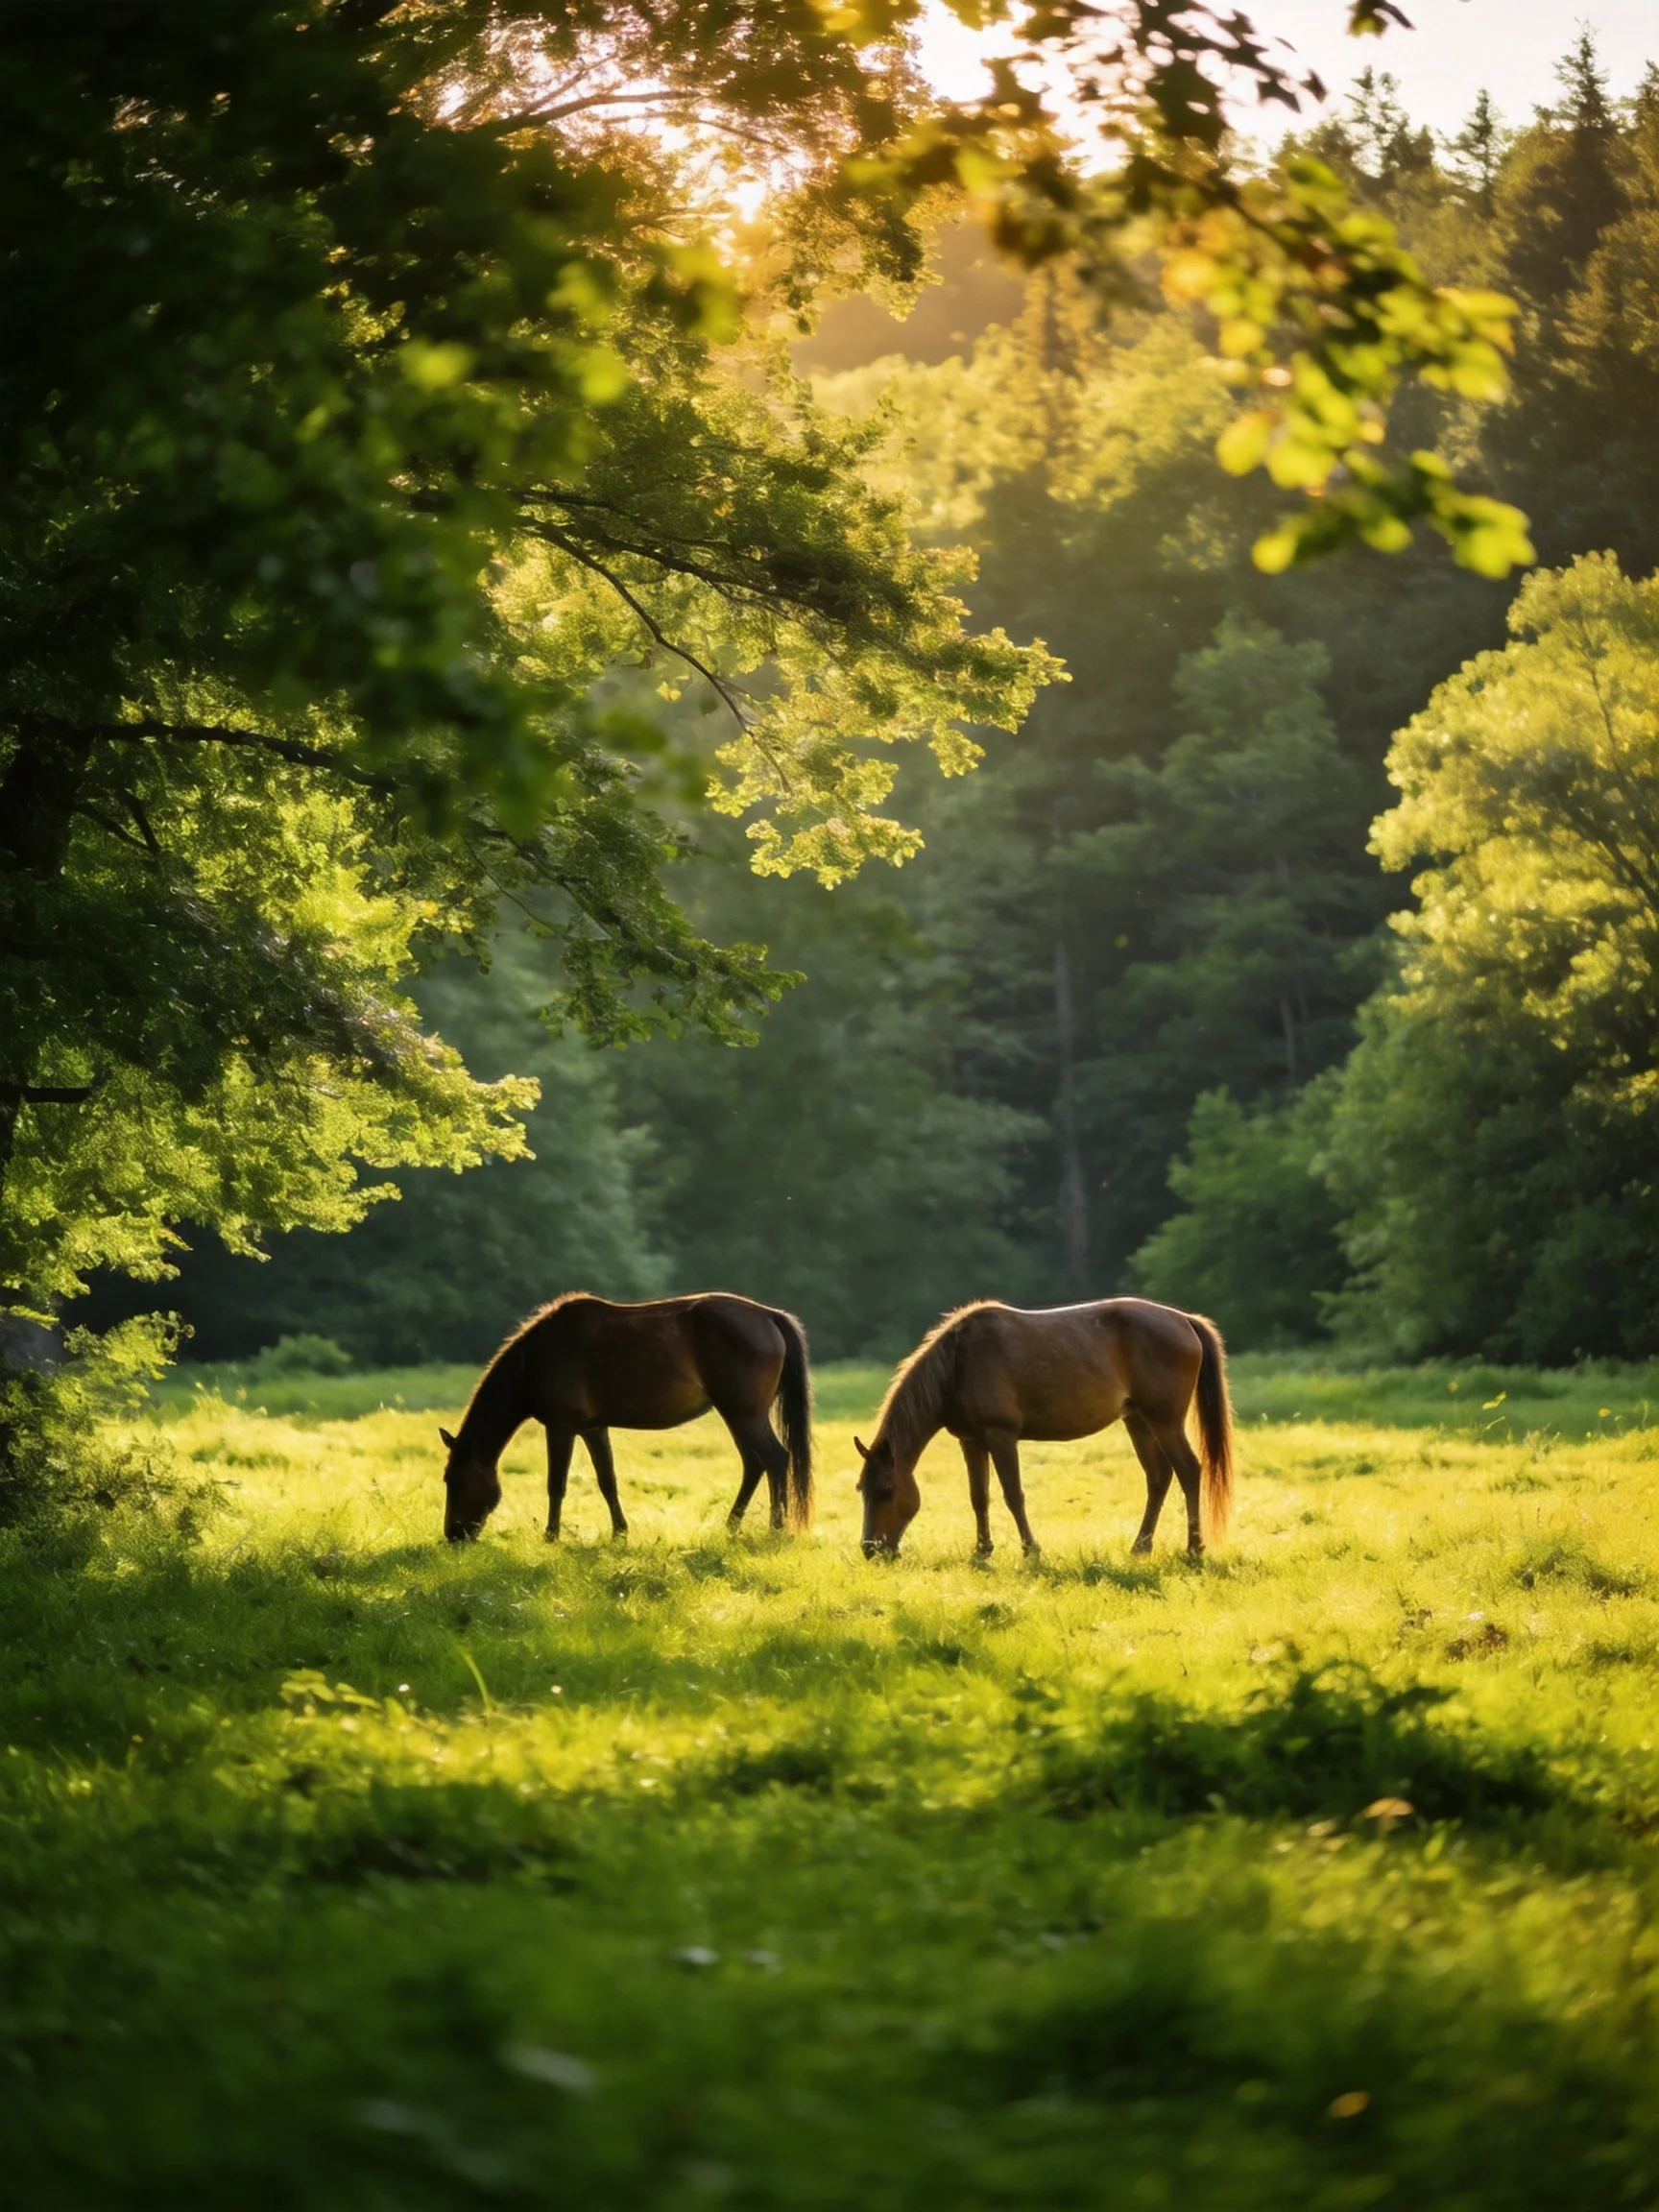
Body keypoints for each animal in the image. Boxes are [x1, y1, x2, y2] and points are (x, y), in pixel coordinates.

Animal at [439, 1293, 812, 1543]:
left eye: (453, 1480)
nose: (453, 1535)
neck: (539, 1357)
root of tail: (769, 1316)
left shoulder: (561, 1427)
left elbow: (556, 1484)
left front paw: (551, 1536)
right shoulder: (593, 1428)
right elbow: (608, 1480)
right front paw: (620, 1533)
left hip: (745, 1415)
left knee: (775, 1459)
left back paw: (775, 1529)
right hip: (738, 1416)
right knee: (755, 1463)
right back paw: (731, 1525)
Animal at [853, 1296, 1233, 1560]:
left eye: (887, 1490)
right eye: (863, 1490)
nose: (870, 1549)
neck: (958, 1364)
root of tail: (1185, 1321)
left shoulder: (1001, 1435)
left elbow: (1013, 1495)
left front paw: (1030, 1550)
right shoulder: (972, 1441)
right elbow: (979, 1497)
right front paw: (982, 1551)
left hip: (1165, 1421)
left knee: (1189, 1471)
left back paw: (1194, 1548)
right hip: (1138, 1420)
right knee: (1158, 1477)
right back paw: (1140, 1546)